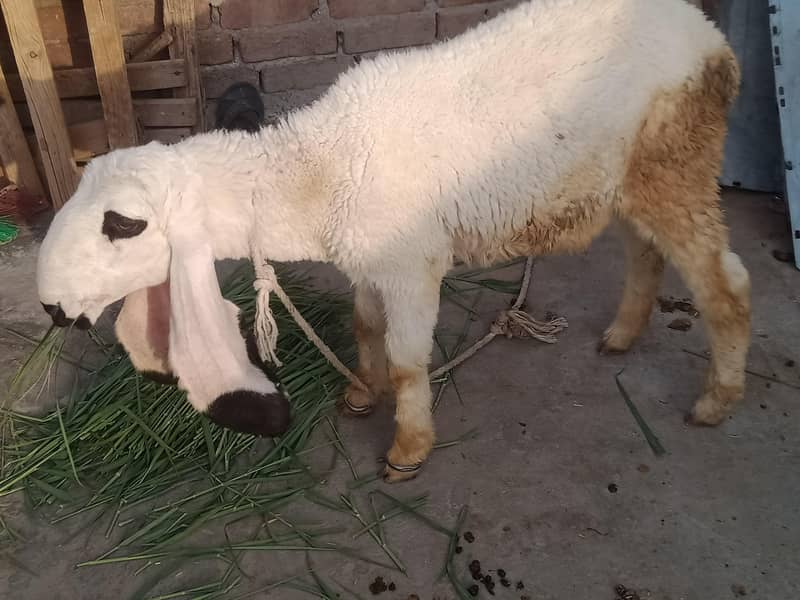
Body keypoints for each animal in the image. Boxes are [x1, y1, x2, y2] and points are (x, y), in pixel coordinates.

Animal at [37, 0, 750, 482]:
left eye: (122, 224)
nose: (51, 307)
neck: (319, 168)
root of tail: (707, 33)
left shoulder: (412, 264)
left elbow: (410, 360)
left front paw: (408, 449)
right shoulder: (369, 259)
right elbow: (364, 325)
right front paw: (361, 394)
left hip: (678, 161)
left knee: (728, 286)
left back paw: (717, 401)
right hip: (625, 179)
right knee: (645, 252)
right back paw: (624, 334)